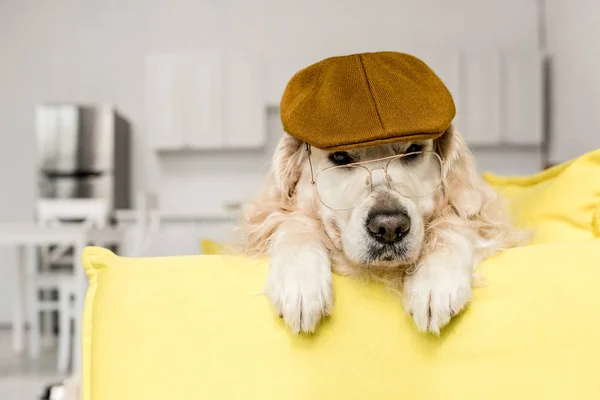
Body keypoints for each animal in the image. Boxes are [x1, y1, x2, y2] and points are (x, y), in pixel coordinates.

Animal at [241, 123, 524, 332]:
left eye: (411, 151)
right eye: (340, 156)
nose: (389, 228)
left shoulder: (490, 220)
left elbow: (454, 222)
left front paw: (435, 283)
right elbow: (294, 222)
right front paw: (300, 283)